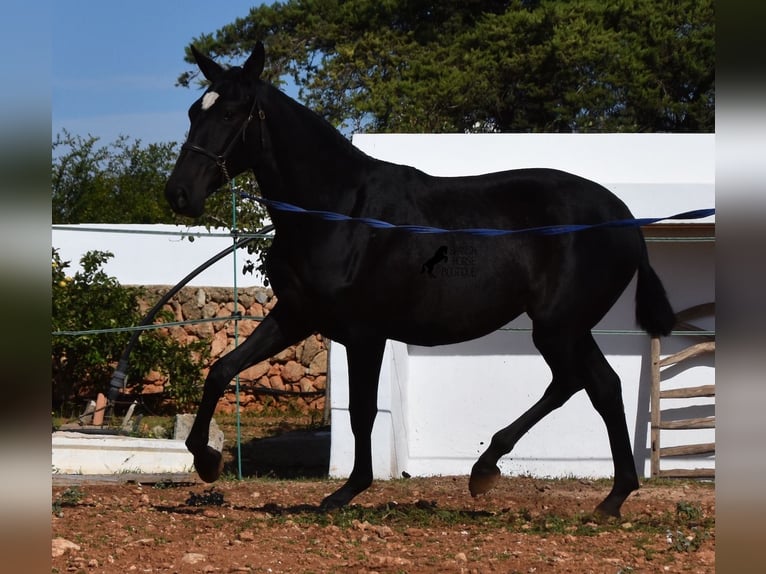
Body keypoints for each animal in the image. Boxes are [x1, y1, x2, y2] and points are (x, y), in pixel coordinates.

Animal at [165, 42, 676, 520]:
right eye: (193, 111)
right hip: (570, 327)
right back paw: (608, 496)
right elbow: (222, 369)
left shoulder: (364, 333)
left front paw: (347, 491)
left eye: (230, 112)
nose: (179, 193)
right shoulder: (295, 316)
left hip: (558, 326)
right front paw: (205, 459)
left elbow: (363, 412)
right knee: (600, 386)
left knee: (575, 383)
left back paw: (491, 470)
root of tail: (625, 218)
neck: (340, 211)